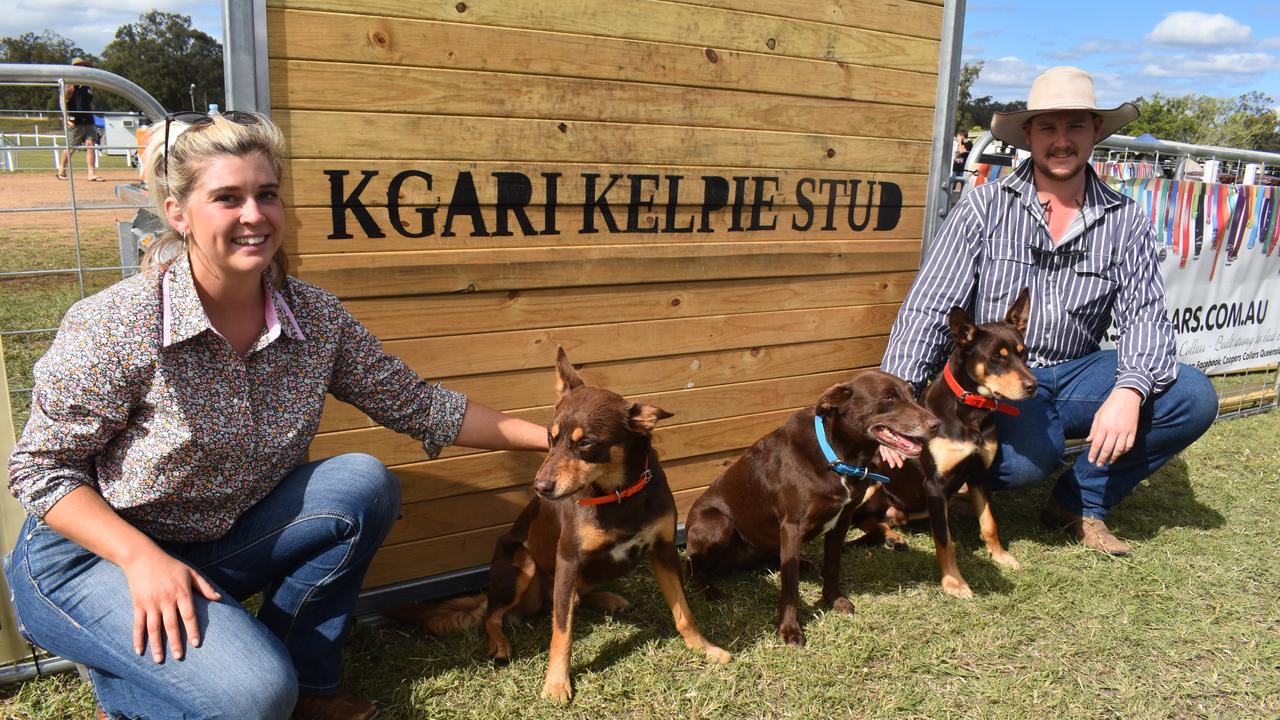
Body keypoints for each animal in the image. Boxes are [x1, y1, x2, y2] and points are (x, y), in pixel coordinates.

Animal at [389, 348, 732, 702]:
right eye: (549, 437)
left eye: (586, 443)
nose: (540, 487)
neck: (618, 495)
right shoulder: (568, 557)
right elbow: (562, 632)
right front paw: (556, 682)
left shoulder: (663, 550)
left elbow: (684, 611)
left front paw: (705, 648)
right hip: (521, 563)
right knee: (494, 614)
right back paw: (500, 642)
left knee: (568, 599)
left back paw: (608, 599)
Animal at [686, 368, 936, 645]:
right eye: (888, 397)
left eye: (911, 393)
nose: (936, 425)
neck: (837, 457)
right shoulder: (792, 527)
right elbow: (790, 587)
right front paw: (789, 629)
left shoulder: (842, 520)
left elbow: (832, 565)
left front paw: (834, 600)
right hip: (716, 523)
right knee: (693, 569)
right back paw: (710, 590)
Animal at [849, 288, 1039, 597]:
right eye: (997, 358)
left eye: (1024, 354)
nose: (1033, 386)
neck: (970, 411)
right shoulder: (935, 486)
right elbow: (944, 539)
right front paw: (953, 582)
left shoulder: (979, 474)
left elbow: (989, 523)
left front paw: (1001, 557)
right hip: (873, 484)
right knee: (857, 518)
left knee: (871, 519)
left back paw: (891, 535)